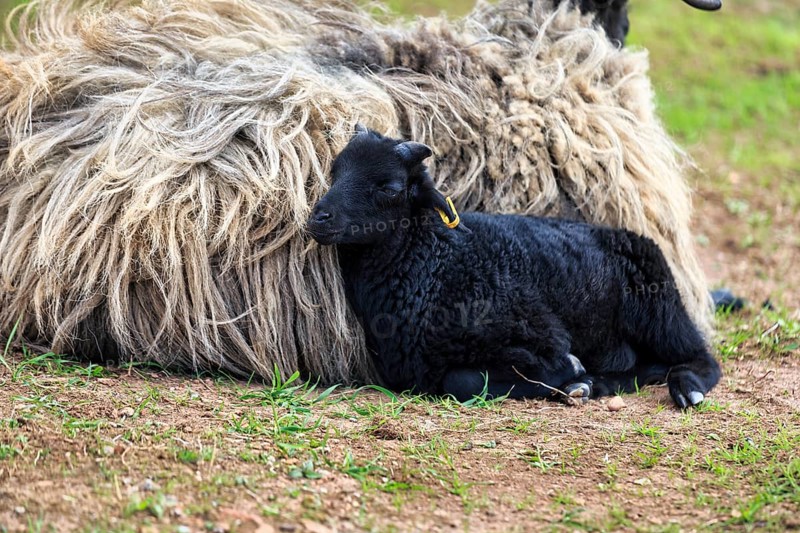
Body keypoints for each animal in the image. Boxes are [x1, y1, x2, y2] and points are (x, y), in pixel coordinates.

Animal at [307, 128, 721, 408]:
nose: (319, 218)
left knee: (701, 358)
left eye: (389, 188)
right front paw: (578, 379)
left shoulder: (543, 335)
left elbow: (463, 381)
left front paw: (569, 371)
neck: (436, 264)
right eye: (335, 171)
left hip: (659, 311)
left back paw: (685, 389)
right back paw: (597, 384)